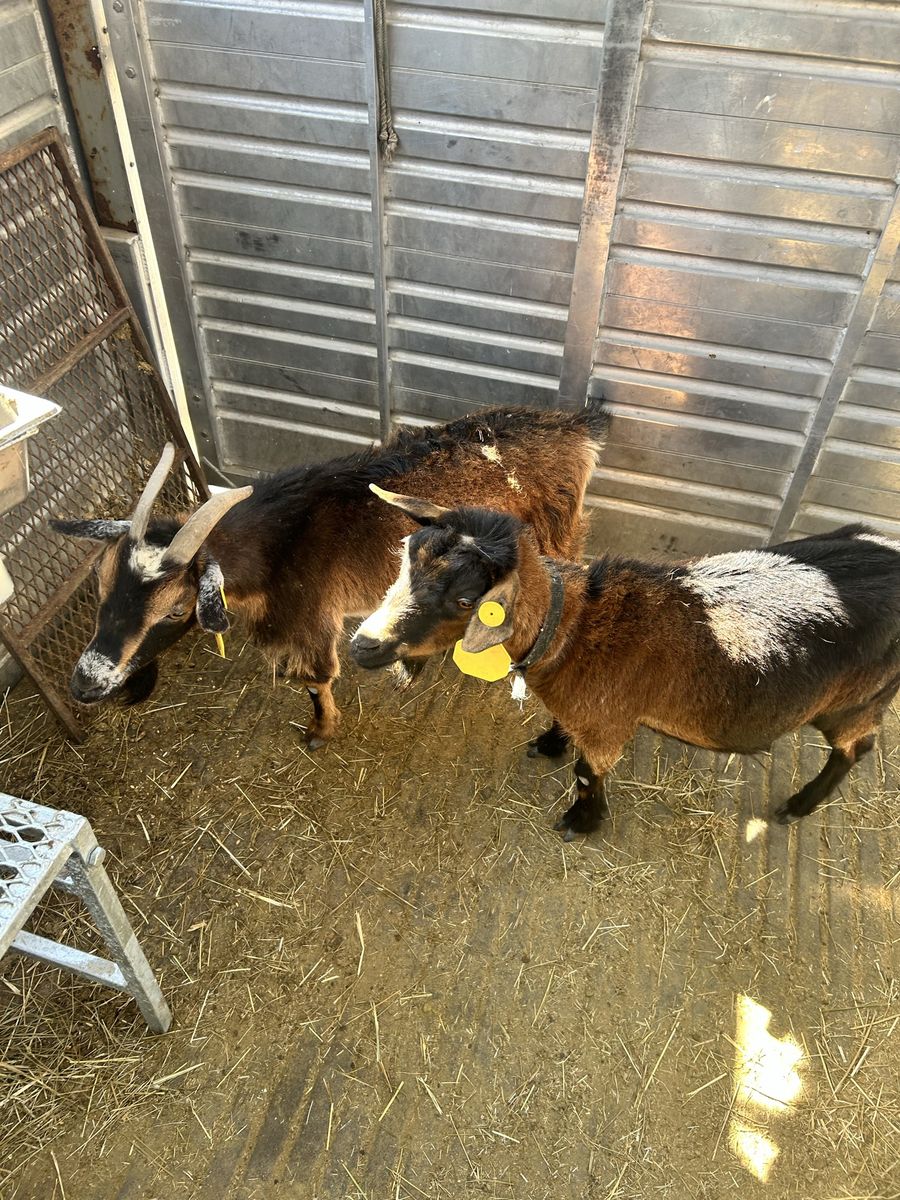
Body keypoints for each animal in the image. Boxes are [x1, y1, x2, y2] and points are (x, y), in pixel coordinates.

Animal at [51, 404, 608, 747]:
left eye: (175, 609)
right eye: (100, 585)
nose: (84, 683)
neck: (281, 540)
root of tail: (576, 426)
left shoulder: (310, 614)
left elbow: (316, 679)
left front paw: (320, 732)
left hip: (557, 536)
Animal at [351, 495, 900, 836]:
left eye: (467, 601)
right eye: (404, 560)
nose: (362, 646)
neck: (573, 629)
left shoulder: (608, 721)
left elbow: (586, 772)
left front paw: (582, 821)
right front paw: (551, 741)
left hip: (858, 699)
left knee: (856, 748)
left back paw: (799, 806)